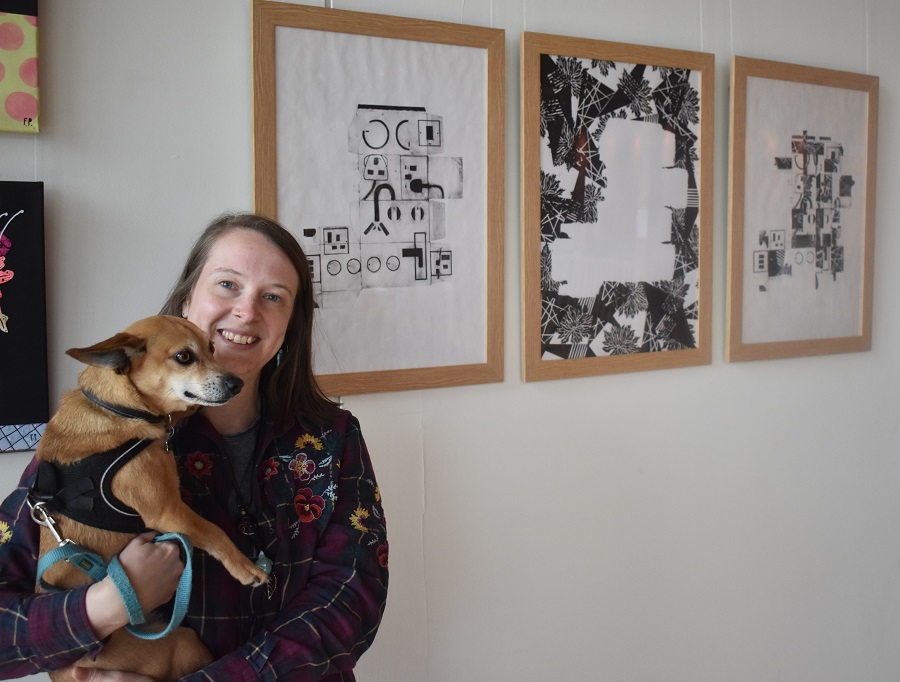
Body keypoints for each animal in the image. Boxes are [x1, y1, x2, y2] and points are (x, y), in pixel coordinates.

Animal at [32, 316, 270, 676]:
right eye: (184, 357)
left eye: (212, 348)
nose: (238, 384)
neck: (121, 408)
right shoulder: (168, 512)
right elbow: (215, 532)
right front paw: (246, 567)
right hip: (184, 642)